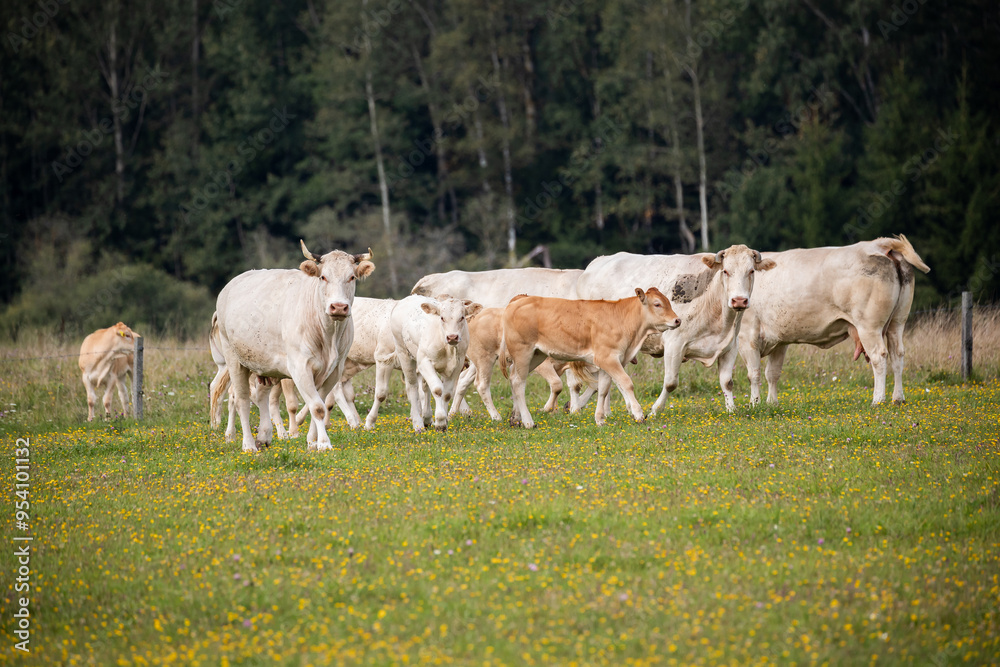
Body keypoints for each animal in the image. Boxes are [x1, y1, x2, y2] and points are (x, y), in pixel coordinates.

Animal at [212, 241, 374, 452]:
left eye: (352, 277)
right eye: (323, 277)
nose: (338, 307)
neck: (328, 336)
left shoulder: (334, 371)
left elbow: (320, 404)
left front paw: (312, 442)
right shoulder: (300, 367)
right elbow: (317, 407)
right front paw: (324, 443)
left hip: (263, 364)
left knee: (261, 396)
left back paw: (264, 435)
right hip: (234, 359)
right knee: (241, 400)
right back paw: (248, 444)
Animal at [383, 295, 482, 432]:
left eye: (462, 317)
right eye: (442, 317)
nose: (452, 337)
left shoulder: (457, 366)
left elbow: (446, 394)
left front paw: (444, 422)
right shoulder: (424, 362)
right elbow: (437, 389)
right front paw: (439, 421)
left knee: (425, 387)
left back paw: (427, 418)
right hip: (404, 353)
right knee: (413, 387)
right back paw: (418, 424)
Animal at [501, 288, 681, 428]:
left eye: (668, 302)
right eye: (657, 304)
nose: (677, 320)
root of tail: (520, 299)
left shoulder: (607, 364)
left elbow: (603, 390)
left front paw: (600, 419)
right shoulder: (608, 359)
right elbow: (626, 383)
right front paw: (639, 415)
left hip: (536, 355)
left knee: (513, 378)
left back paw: (515, 418)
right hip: (523, 352)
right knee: (519, 382)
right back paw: (528, 422)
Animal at [576, 245, 776, 413]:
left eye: (751, 271)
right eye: (726, 271)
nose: (739, 300)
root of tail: (596, 263)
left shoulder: (730, 346)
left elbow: (727, 382)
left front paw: (731, 410)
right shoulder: (675, 343)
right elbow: (671, 382)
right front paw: (655, 410)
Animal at [728, 235, 931, 406]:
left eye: (750, 271)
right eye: (726, 271)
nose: (739, 300)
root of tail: (876, 245)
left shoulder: (747, 337)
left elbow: (754, 374)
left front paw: (755, 404)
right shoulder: (779, 339)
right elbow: (772, 373)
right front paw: (772, 404)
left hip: (869, 326)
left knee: (879, 356)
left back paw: (878, 400)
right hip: (898, 322)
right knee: (898, 355)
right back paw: (898, 398)